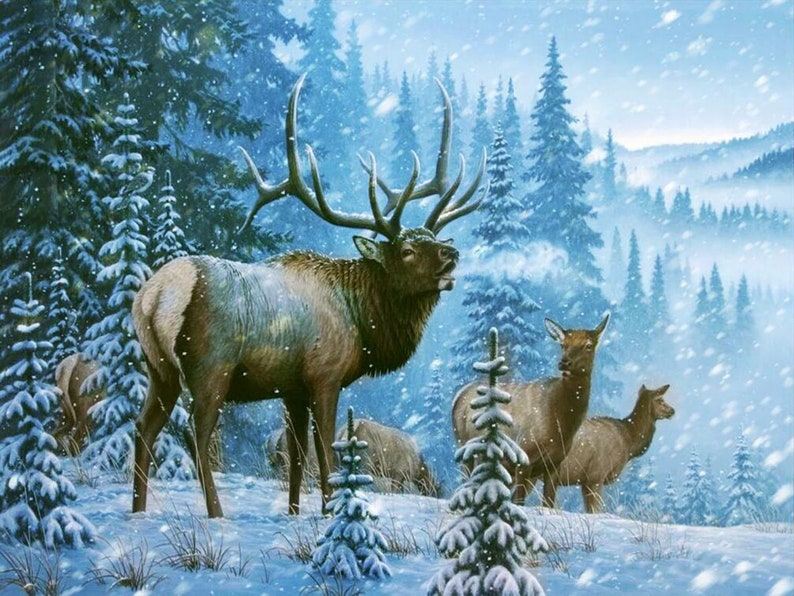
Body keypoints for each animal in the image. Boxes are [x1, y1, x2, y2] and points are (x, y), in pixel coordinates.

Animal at [131, 74, 487, 517]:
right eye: (406, 250)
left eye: (434, 240)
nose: (451, 255)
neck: (361, 321)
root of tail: (155, 296)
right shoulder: (324, 377)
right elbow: (326, 453)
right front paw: (334, 509)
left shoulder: (291, 390)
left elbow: (298, 456)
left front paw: (296, 512)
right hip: (209, 368)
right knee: (198, 437)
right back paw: (216, 514)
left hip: (157, 368)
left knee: (142, 429)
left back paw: (137, 509)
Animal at [451, 314, 609, 506]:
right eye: (563, 344)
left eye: (588, 345)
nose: (564, 362)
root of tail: (459, 395)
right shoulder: (523, 454)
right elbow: (519, 503)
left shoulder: (555, 464)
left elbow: (548, 503)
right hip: (465, 447)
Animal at [543, 383, 675, 513]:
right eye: (660, 399)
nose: (672, 410)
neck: (628, 442)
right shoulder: (596, 475)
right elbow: (595, 510)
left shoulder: (585, 481)